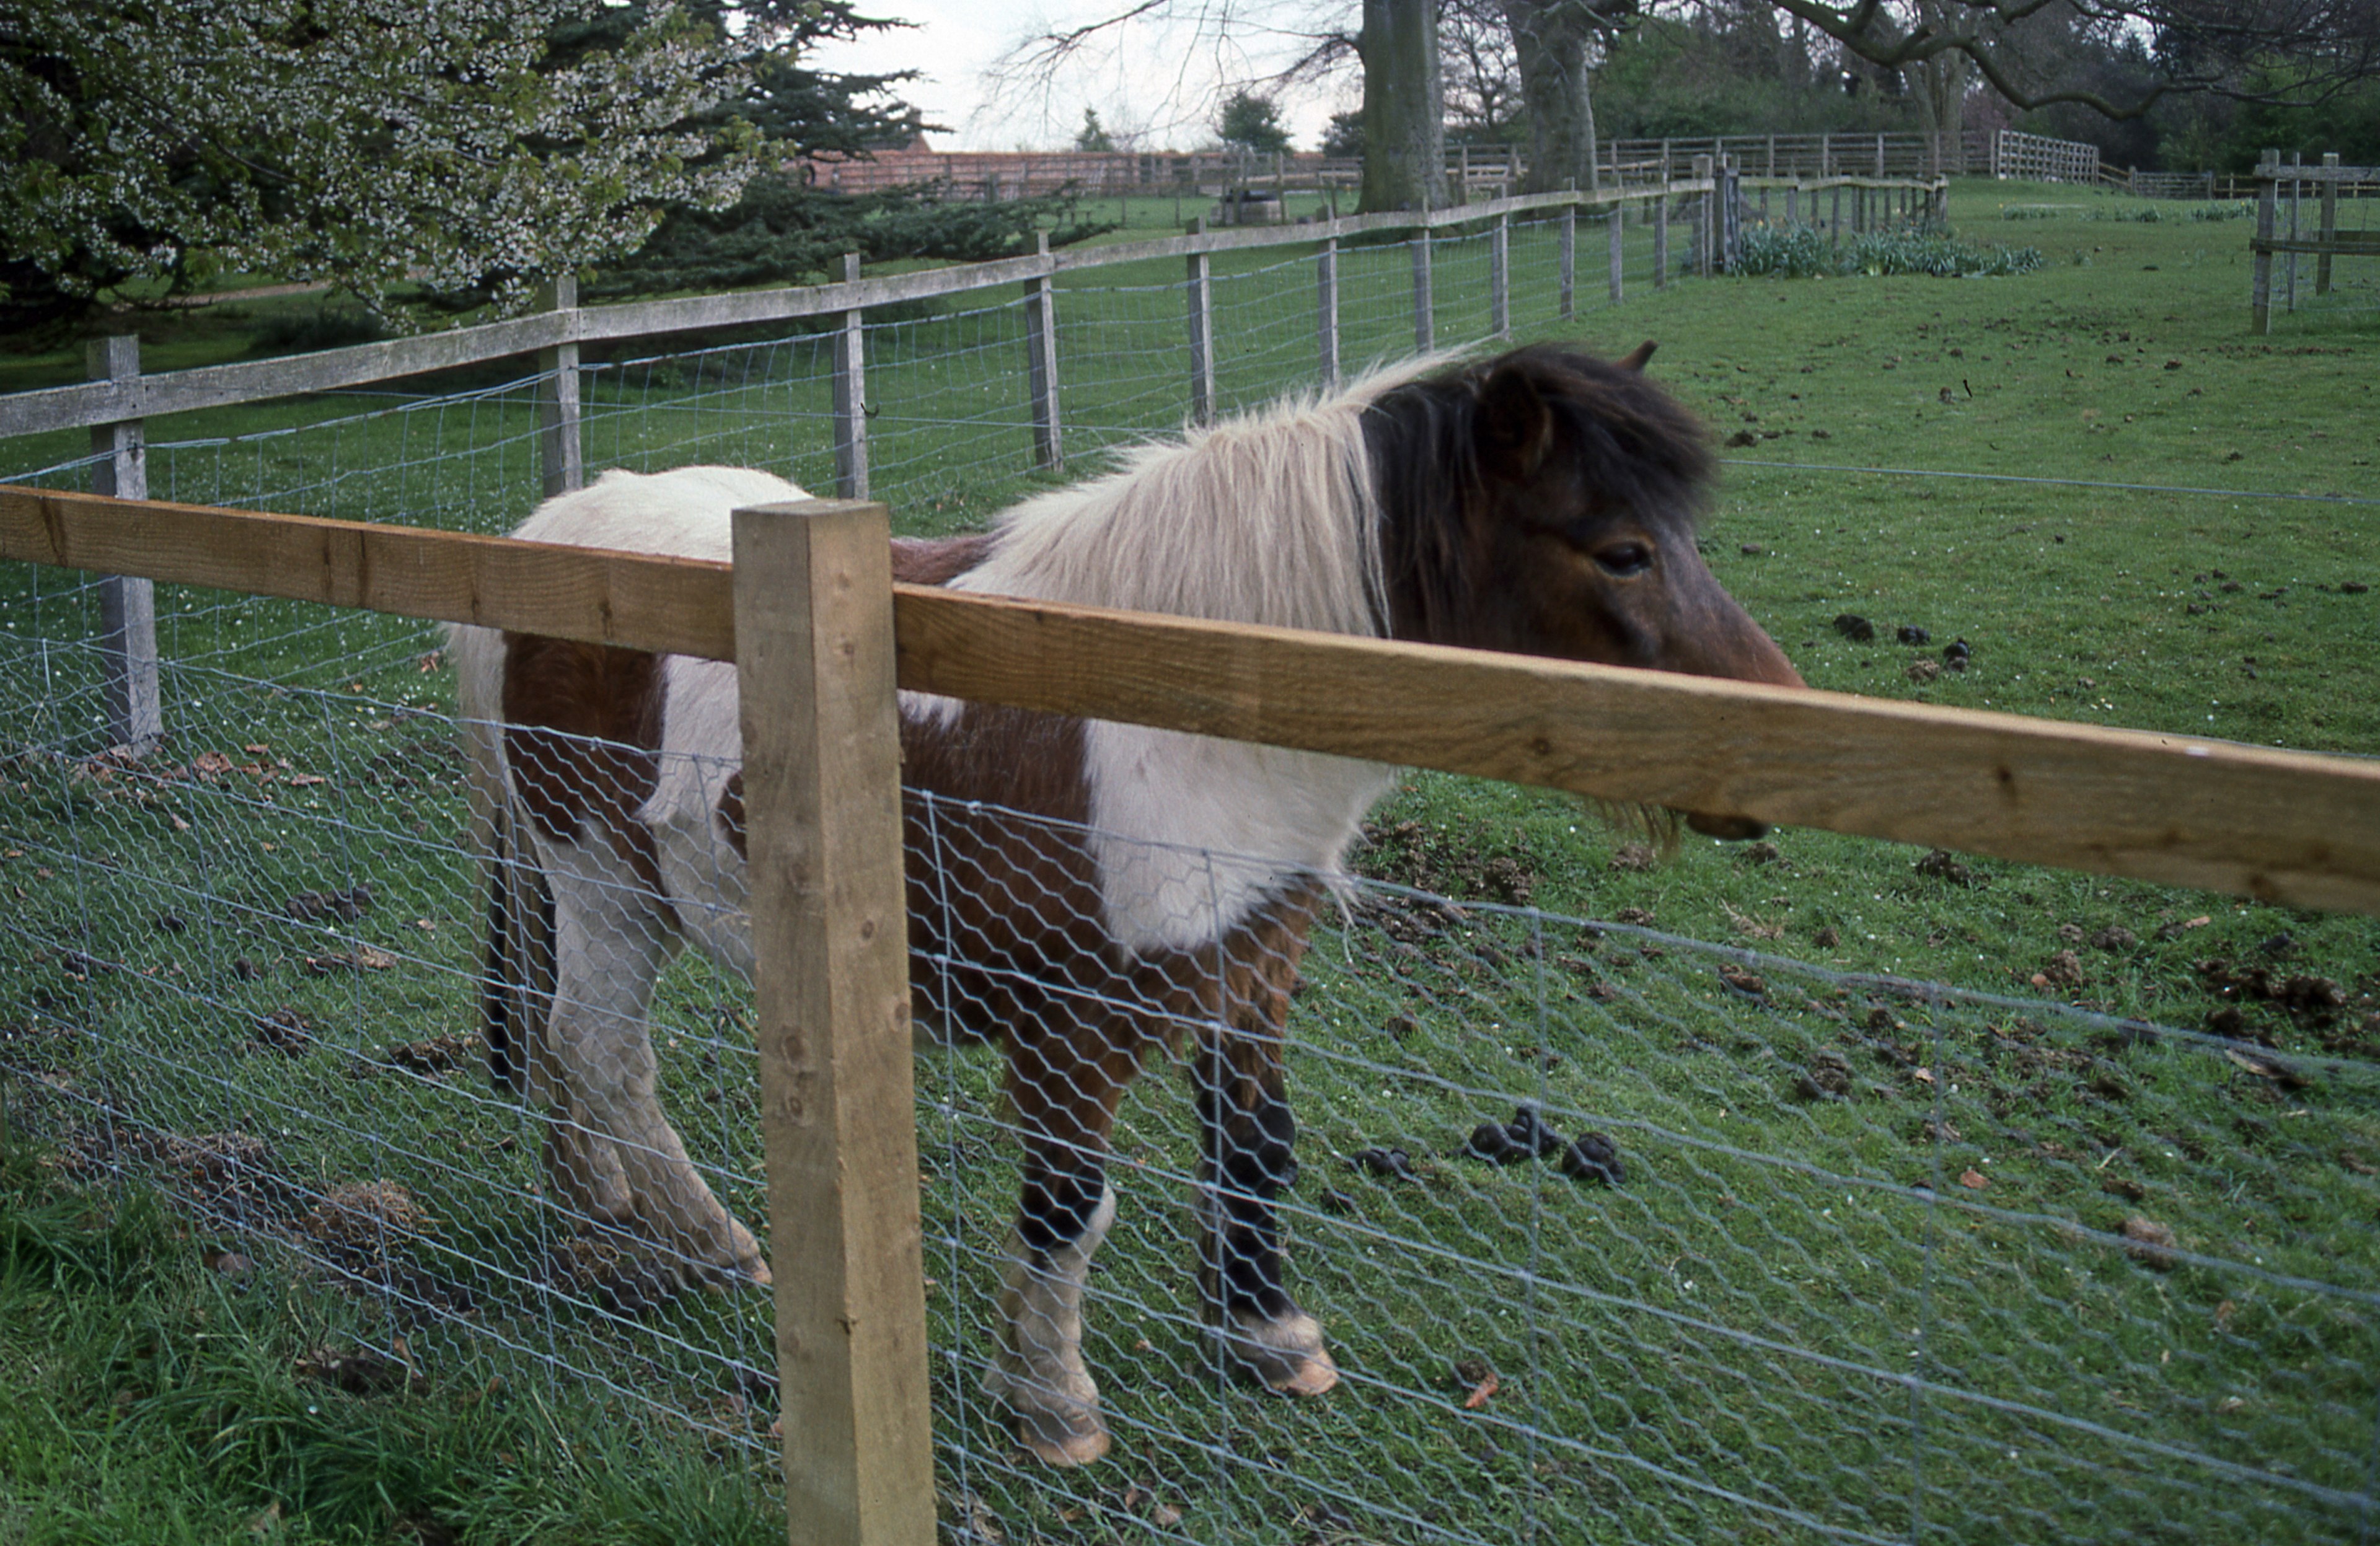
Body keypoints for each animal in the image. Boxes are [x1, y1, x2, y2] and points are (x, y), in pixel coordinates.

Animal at [448, 341, 1804, 1467]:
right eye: (1621, 549)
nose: (1773, 741)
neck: (1169, 706)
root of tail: (546, 529)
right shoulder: (1073, 1025)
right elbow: (1069, 1203)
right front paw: (1054, 1403)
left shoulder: (1251, 968)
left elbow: (1256, 1146)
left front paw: (1266, 1333)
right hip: (607, 886)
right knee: (601, 1045)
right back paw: (713, 1238)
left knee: (572, 1047)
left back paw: (599, 1193)